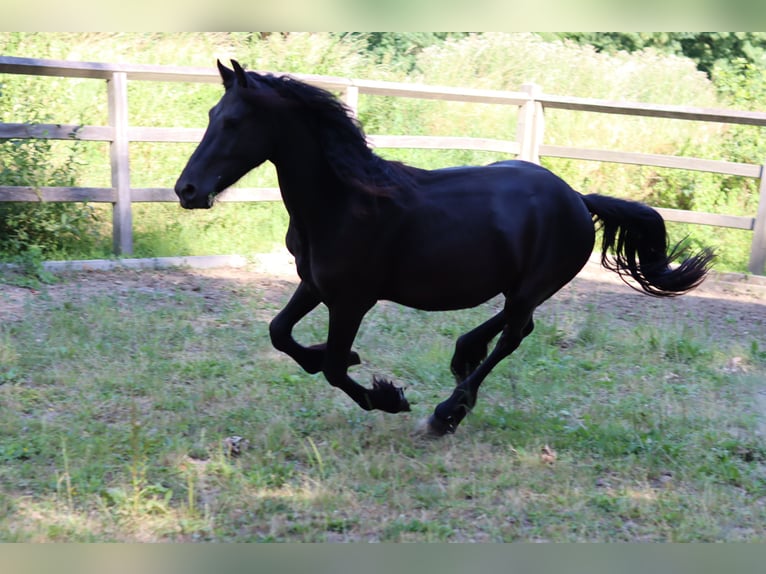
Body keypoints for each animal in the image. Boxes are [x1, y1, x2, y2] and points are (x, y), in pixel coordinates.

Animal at [175, 60, 714, 436]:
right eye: (211, 114)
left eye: (234, 122)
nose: (187, 190)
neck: (343, 201)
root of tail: (579, 199)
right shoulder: (314, 284)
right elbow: (280, 333)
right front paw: (331, 355)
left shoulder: (351, 300)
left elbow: (332, 367)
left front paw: (388, 397)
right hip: (519, 286)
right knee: (514, 325)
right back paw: (462, 359)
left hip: (533, 285)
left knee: (514, 335)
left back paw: (445, 413)